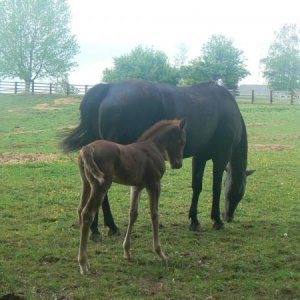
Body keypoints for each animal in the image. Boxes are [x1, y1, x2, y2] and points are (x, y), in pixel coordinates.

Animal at [77, 119, 185, 274]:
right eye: (182, 141)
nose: (178, 164)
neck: (153, 147)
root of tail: (87, 148)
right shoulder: (154, 184)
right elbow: (154, 215)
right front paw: (161, 254)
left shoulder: (137, 186)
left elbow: (133, 214)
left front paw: (127, 252)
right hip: (100, 186)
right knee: (87, 214)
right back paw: (83, 264)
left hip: (86, 184)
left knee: (80, 210)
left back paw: (85, 260)